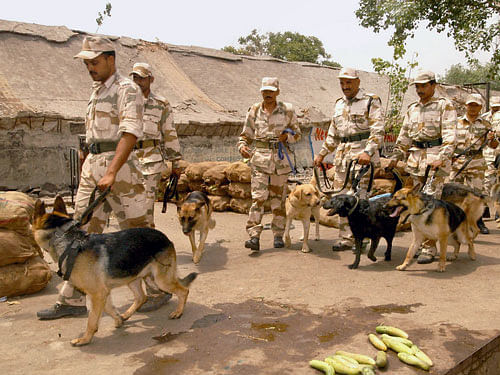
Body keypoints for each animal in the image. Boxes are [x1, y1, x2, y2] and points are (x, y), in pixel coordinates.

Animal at [31, 197, 197, 346]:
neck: (67, 242)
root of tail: (166, 238)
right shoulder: (103, 293)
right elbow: (109, 309)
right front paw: (118, 319)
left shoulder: (98, 294)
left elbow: (92, 320)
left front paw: (85, 339)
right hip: (134, 278)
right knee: (141, 297)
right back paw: (126, 314)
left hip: (161, 280)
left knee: (184, 291)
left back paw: (178, 312)